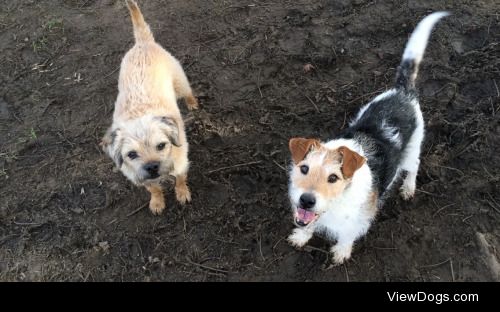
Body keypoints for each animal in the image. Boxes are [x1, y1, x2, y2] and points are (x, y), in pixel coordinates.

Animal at [101, 0, 197, 214]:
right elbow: (152, 188)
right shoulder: (137, 175)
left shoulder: (181, 162)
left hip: (180, 82)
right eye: (131, 154)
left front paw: (182, 193)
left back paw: (192, 103)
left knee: (188, 92)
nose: (152, 166)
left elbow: (180, 178)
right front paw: (157, 201)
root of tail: (142, 43)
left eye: (161, 145)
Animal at [286, 12, 450, 266]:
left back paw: (408, 188)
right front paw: (301, 236)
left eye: (333, 177)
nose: (306, 200)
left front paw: (341, 252)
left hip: (412, 150)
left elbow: (347, 234)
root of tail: (402, 92)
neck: (339, 199)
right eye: (304, 169)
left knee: (414, 166)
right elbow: (309, 224)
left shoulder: (359, 219)